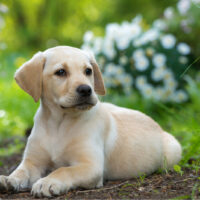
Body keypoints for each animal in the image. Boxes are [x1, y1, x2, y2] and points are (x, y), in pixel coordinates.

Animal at [0, 46, 181, 197]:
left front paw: (47, 182)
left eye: (88, 71)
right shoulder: (32, 162)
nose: (86, 89)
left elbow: (64, 170)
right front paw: (9, 179)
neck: (59, 123)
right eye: (61, 72)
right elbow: (21, 171)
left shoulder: (91, 166)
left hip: (173, 151)